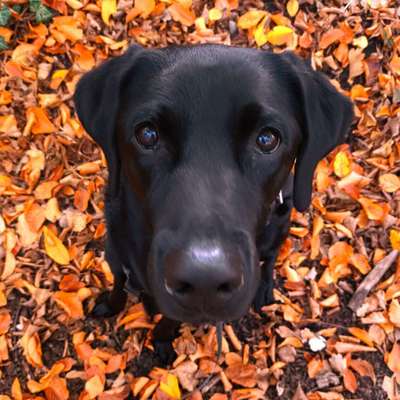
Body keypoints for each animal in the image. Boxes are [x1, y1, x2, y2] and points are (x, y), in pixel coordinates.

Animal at [72, 45, 354, 360]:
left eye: (267, 139)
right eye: (147, 134)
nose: (204, 282)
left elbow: (168, 319)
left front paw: (162, 340)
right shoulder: (117, 261)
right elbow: (118, 286)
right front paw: (110, 305)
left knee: (270, 256)